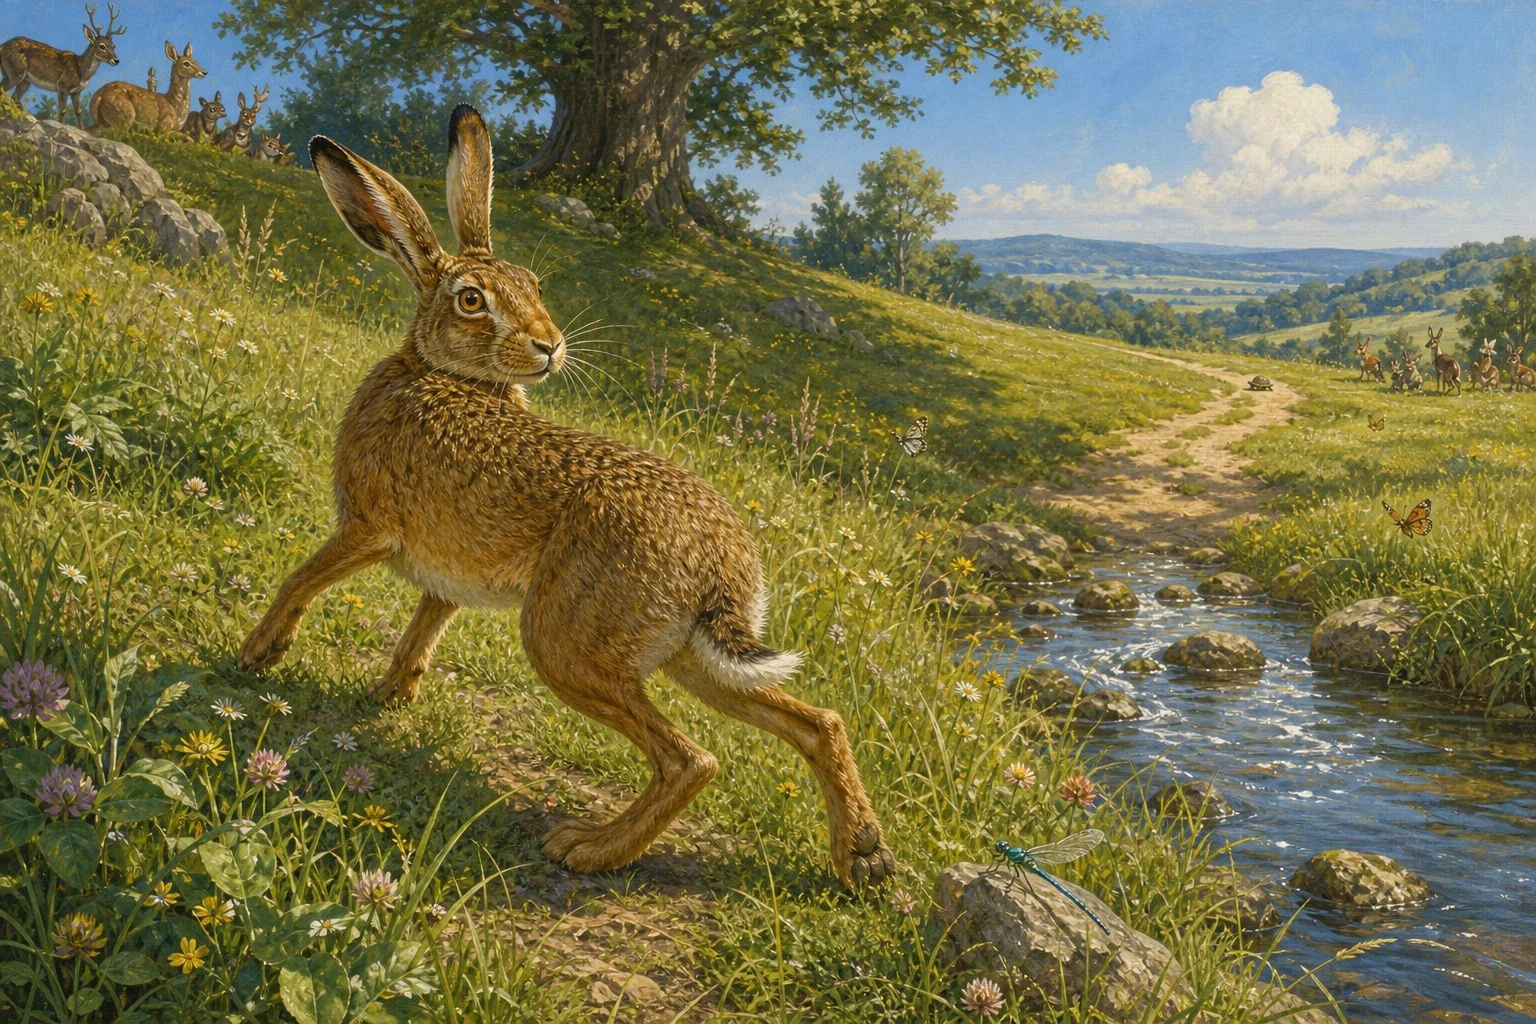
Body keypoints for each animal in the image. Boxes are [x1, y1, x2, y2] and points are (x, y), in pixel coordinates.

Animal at [236, 105, 894, 893]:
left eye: (533, 283)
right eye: (473, 300)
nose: (549, 345)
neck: (442, 371)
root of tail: (719, 566)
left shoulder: (369, 525)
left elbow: (300, 580)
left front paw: (255, 655)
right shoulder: (442, 579)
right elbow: (423, 628)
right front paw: (388, 697)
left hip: (566, 642)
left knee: (691, 759)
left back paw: (587, 848)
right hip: (688, 657)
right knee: (816, 722)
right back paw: (862, 857)